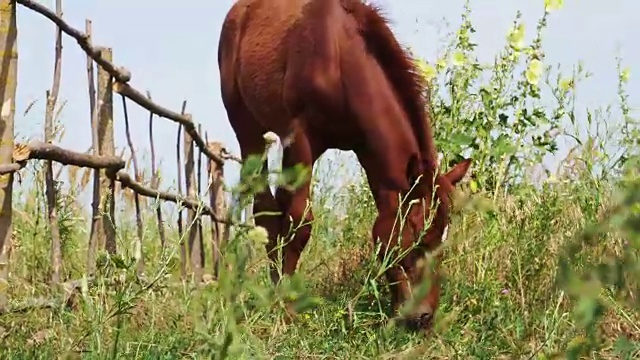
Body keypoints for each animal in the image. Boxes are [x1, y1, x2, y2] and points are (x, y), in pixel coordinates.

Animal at [218, 0, 472, 330]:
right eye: (418, 237)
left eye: (443, 241)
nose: (424, 316)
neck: (339, 59)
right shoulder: (301, 138)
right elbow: (300, 222)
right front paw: (288, 309)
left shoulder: (365, 149)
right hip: (247, 127)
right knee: (266, 208)